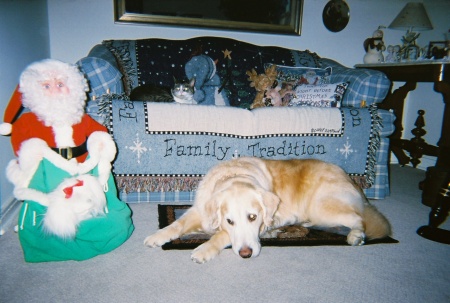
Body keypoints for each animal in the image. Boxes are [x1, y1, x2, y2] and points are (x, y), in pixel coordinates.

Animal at [144, 158, 390, 264]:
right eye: (230, 220)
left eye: (253, 217)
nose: (246, 254)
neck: (234, 176)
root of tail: (351, 180)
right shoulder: (200, 210)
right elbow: (177, 224)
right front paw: (158, 236)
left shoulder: (265, 225)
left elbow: (220, 236)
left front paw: (204, 249)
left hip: (322, 207)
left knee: (358, 218)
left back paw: (356, 235)